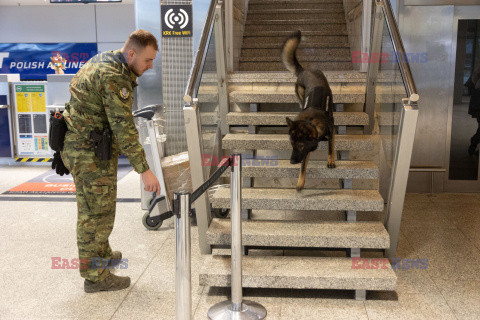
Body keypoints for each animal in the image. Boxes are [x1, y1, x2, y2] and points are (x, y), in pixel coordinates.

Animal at [284, 30, 336, 190]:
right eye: (291, 144)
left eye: (300, 145)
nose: (291, 162)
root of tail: (305, 70)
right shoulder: (305, 153)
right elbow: (303, 166)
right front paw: (300, 182)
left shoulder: (332, 130)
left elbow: (331, 147)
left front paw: (331, 160)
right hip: (300, 92)